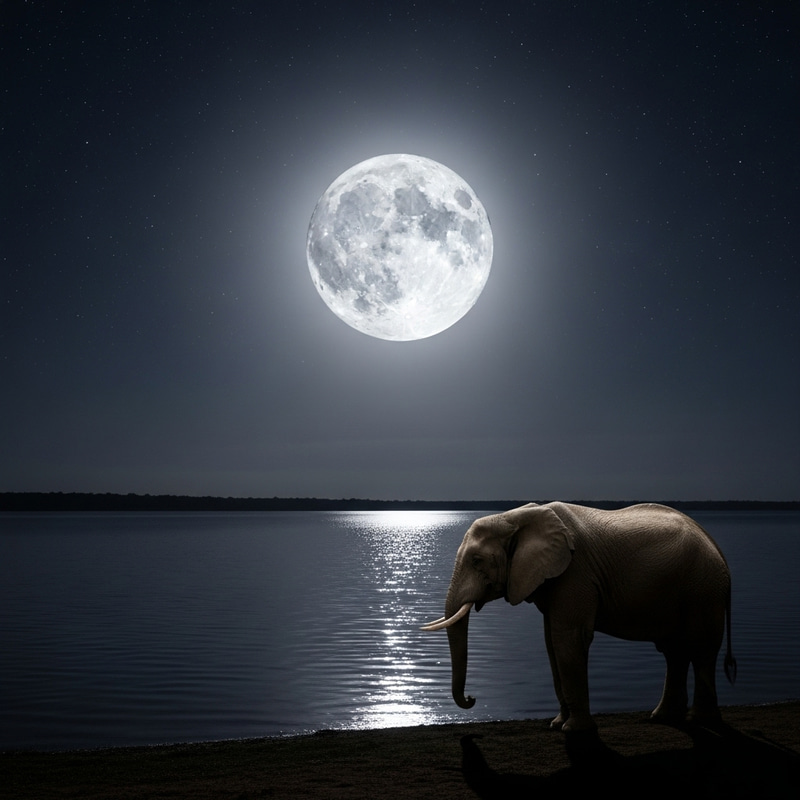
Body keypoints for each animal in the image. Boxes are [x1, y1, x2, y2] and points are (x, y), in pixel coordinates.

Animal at [422, 502, 736, 732]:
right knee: (675, 651)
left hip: (703, 589)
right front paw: (557, 724)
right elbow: (551, 642)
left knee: (701, 648)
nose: (472, 698)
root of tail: (718, 548)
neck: (515, 517)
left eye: (477, 561)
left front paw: (573, 730)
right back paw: (662, 718)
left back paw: (698, 722)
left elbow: (568, 638)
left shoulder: (576, 573)